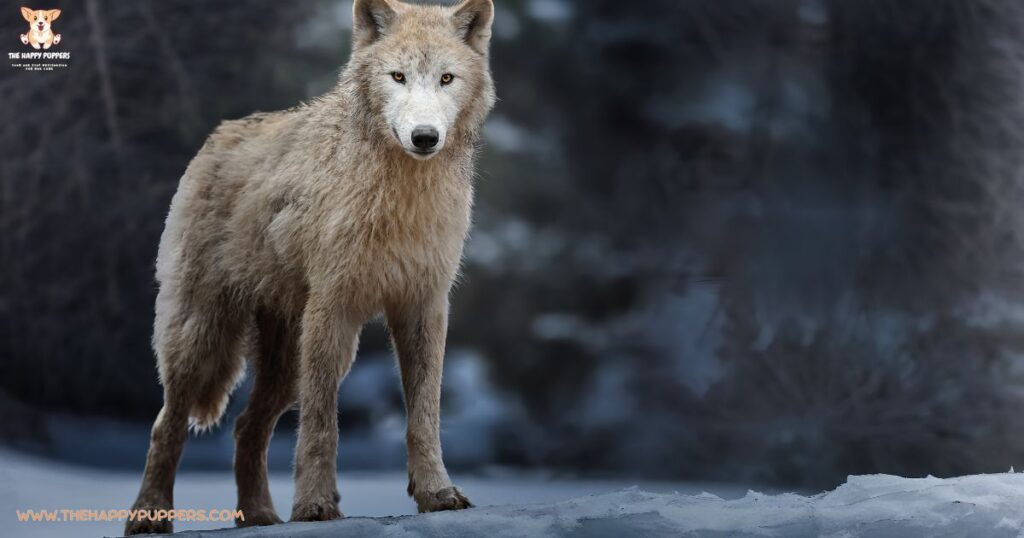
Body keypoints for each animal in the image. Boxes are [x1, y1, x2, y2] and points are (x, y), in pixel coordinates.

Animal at [124, 0, 495, 534]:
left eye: (446, 78)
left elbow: (424, 416)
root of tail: (216, 137)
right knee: (165, 425)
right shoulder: (333, 307)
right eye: (398, 76)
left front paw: (437, 494)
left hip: (286, 363)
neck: (401, 200)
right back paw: (148, 516)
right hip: (205, 339)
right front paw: (316, 507)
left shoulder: (423, 306)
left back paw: (259, 515)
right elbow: (322, 424)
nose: (424, 137)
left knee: (245, 427)